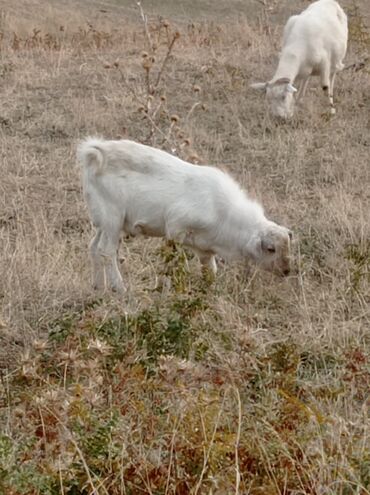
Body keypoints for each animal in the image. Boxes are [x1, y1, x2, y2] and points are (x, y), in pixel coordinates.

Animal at [78, 138, 292, 292]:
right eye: (271, 248)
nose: (286, 271)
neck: (224, 213)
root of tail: (96, 152)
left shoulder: (205, 249)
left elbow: (210, 270)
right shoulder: (176, 229)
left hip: (104, 223)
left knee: (93, 247)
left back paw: (98, 287)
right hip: (112, 220)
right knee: (107, 251)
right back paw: (120, 288)